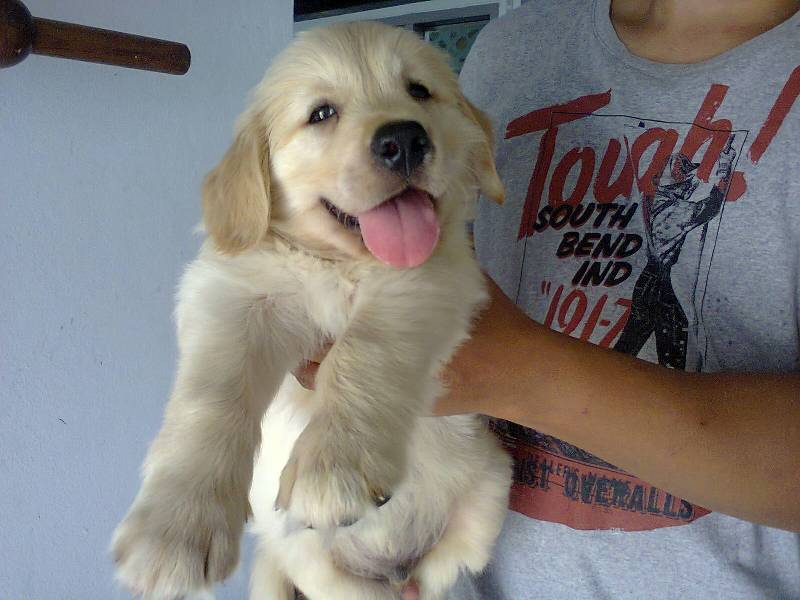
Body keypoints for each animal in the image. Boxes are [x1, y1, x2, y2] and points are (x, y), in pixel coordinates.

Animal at [112, 21, 511, 600]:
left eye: (419, 91)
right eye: (321, 113)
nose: (405, 140)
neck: (335, 263)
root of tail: (393, 568)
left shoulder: (430, 274)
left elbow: (364, 350)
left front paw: (334, 467)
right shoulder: (229, 295)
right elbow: (210, 397)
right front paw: (173, 529)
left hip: (491, 482)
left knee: (444, 566)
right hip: (303, 558)